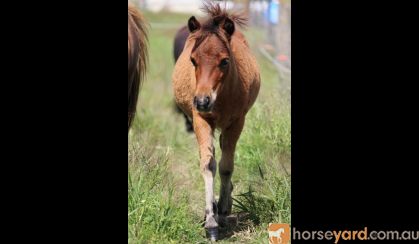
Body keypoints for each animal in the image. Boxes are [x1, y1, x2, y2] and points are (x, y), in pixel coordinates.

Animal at [171, 0, 260, 239]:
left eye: (225, 61)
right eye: (193, 60)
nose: (202, 101)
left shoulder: (237, 122)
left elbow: (226, 166)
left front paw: (222, 211)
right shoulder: (201, 120)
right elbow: (208, 164)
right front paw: (211, 221)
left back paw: (225, 204)